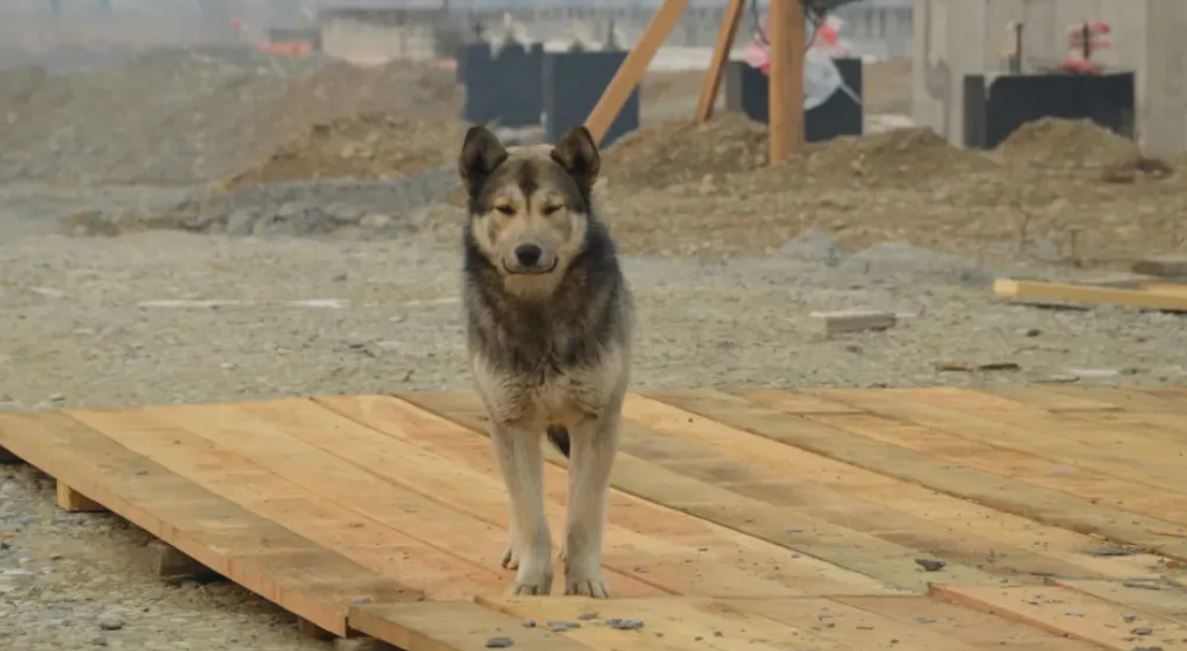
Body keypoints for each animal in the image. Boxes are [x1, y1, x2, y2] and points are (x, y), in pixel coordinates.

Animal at [458, 124, 636, 598]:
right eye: (504, 209)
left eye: (552, 208)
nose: (528, 252)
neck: (540, 311)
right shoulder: (513, 422)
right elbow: (531, 517)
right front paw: (532, 581)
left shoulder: (596, 421)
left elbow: (583, 514)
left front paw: (585, 579)